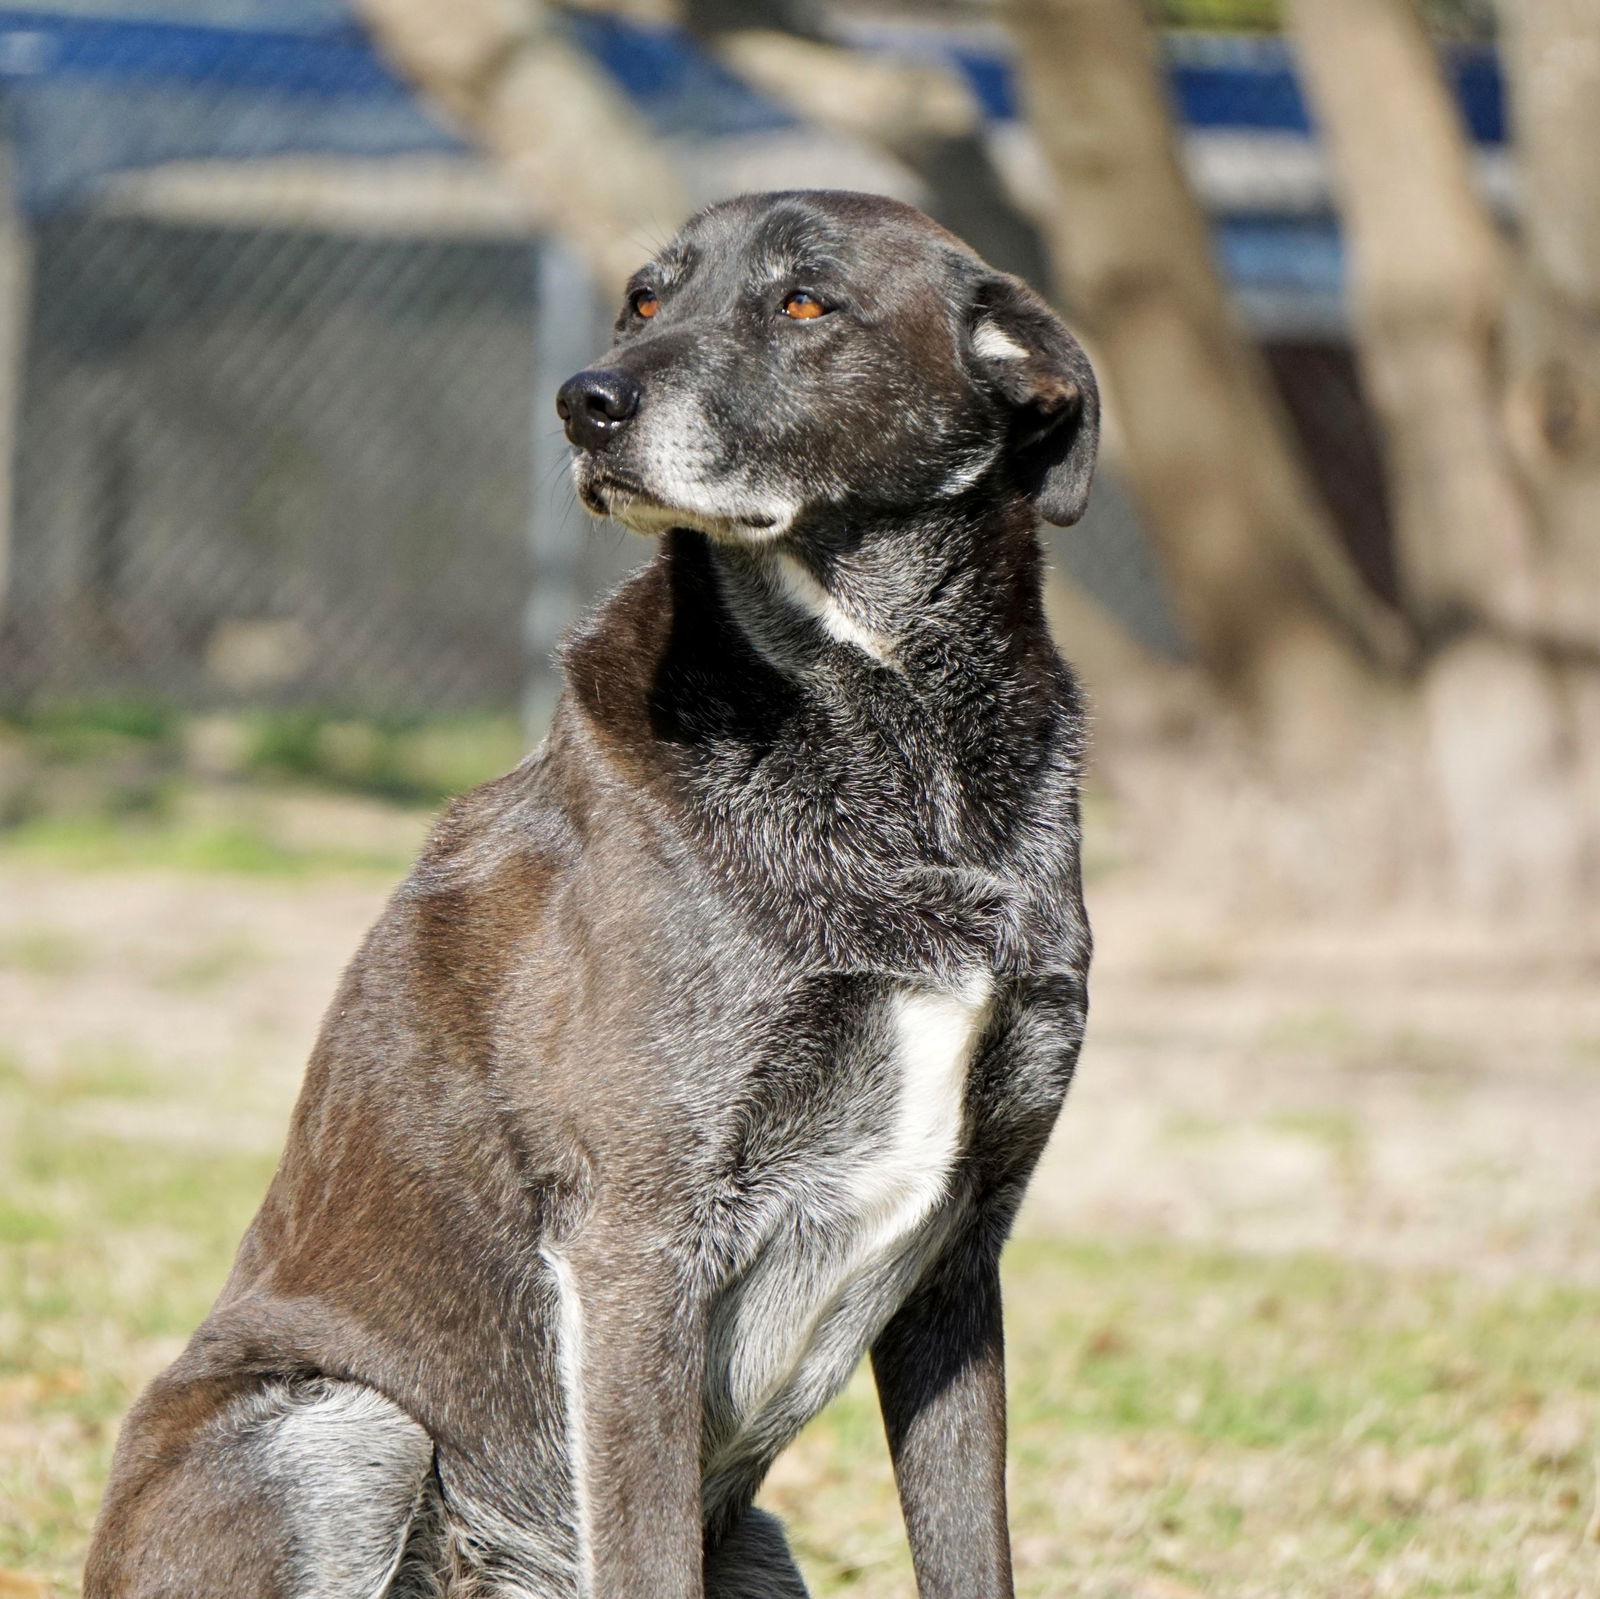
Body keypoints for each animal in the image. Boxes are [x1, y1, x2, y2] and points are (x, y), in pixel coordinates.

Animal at [87, 190, 1100, 1599]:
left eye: (804, 302)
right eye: (642, 299)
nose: (586, 402)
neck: (900, 759)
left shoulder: (961, 1262)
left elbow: (968, 1555)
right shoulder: (639, 1239)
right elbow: (643, 1546)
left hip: (753, 1542)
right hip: (343, 1426)